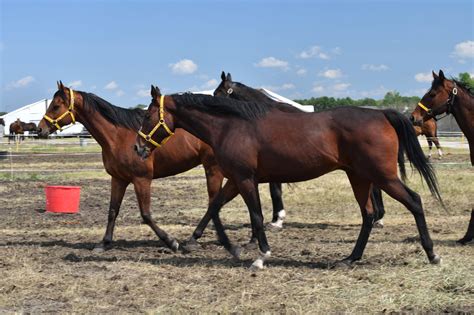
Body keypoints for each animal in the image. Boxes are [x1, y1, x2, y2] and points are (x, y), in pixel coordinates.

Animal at [135, 85, 442, 270]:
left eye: (148, 115)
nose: (138, 147)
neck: (232, 126)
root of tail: (383, 115)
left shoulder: (244, 179)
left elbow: (256, 215)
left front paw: (261, 256)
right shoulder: (236, 179)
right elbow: (215, 207)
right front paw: (211, 244)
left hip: (382, 176)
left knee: (414, 202)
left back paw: (432, 254)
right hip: (360, 177)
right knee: (368, 214)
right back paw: (350, 258)